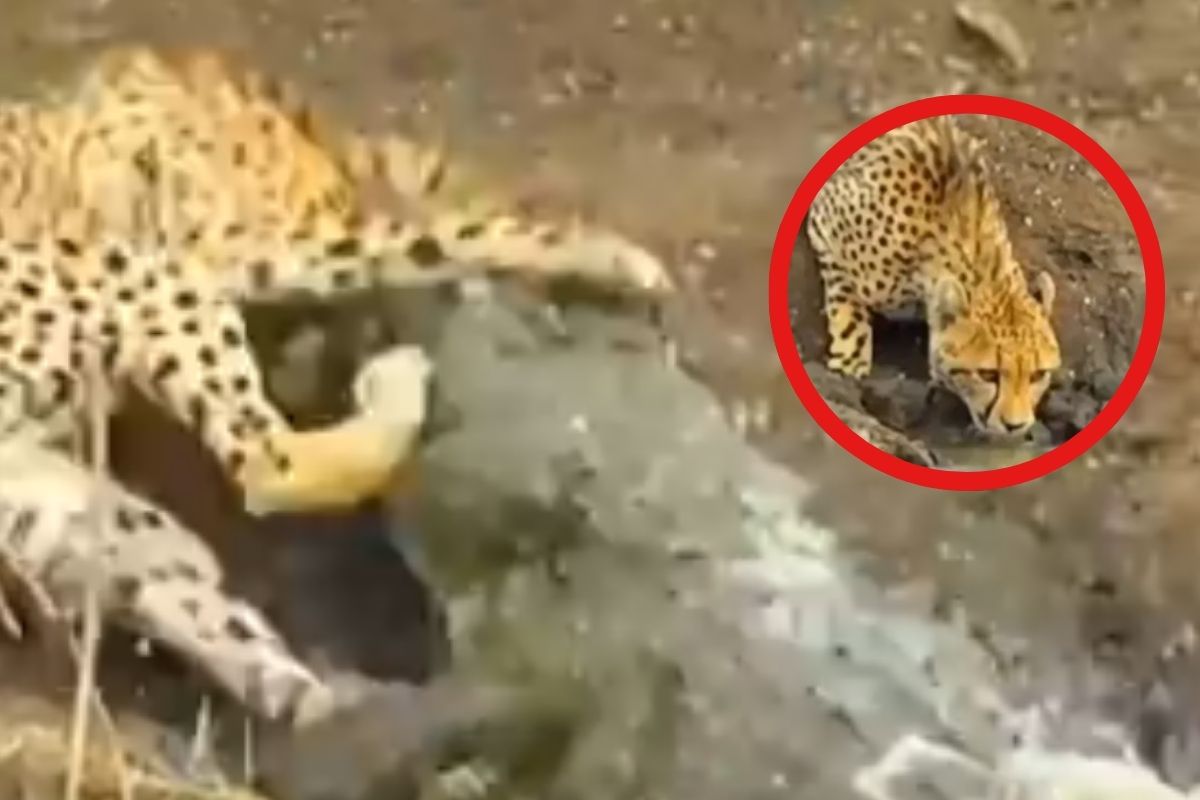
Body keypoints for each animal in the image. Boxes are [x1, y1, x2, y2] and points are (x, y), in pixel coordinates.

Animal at [0, 44, 673, 725]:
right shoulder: (235, 251)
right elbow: (436, 236)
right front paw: (612, 255)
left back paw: (289, 683)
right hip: (142, 279)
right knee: (271, 464)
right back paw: (396, 383)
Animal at [805, 115, 1061, 438]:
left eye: (1038, 375)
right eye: (988, 374)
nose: (1015, 426)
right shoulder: (825, 220)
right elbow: (849, 311)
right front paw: (848, 365)